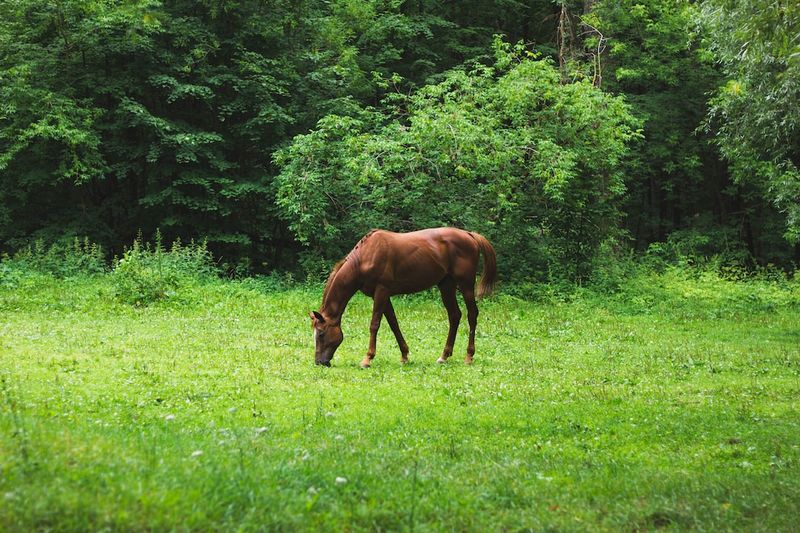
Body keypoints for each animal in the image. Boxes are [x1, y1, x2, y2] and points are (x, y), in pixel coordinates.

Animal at [310, 227, 494, 368]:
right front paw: (404, 355)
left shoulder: (381, 292)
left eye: (321, 334)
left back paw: (469, 356)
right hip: (446, 285)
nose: (319, 362)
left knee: (472, 315)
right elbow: (393, 323)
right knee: (455, 315)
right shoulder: (382, 296)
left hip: (466, 285)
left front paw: (367, 359)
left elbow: (374, 325)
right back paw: (444, 356)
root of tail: (470, 235)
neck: (364, 258)